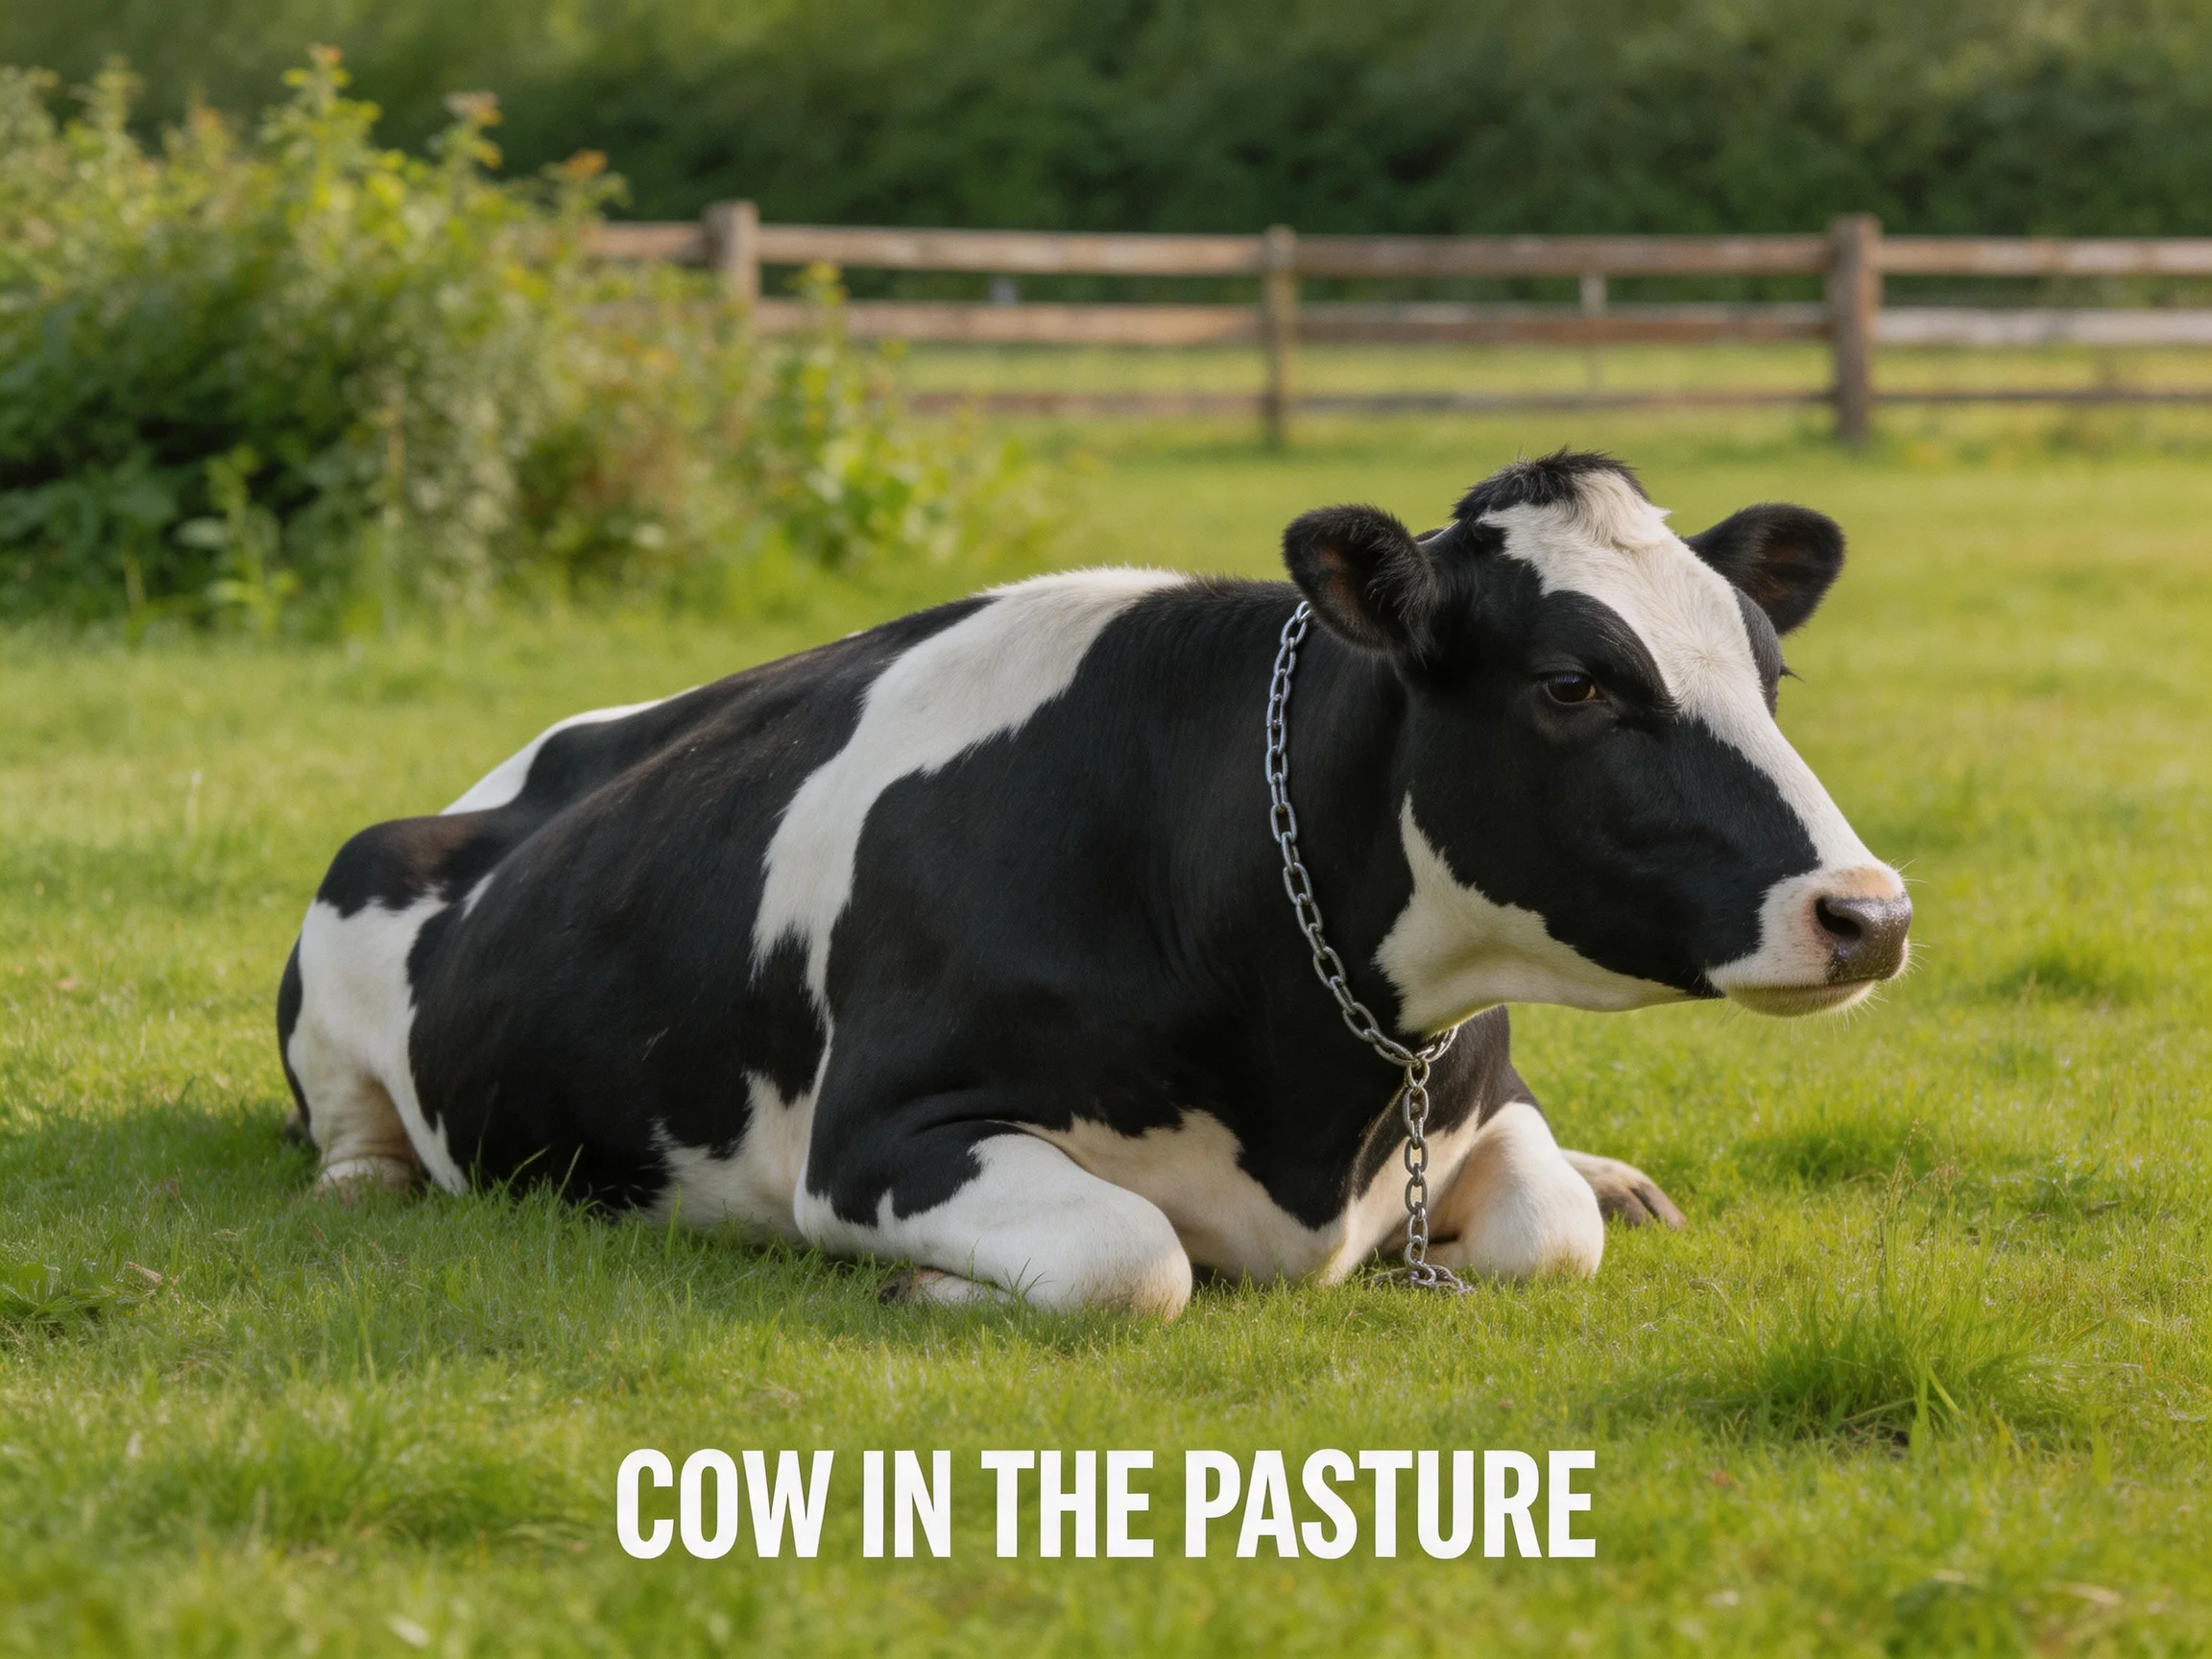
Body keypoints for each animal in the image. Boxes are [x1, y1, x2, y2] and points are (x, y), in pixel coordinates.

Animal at [276, 451, 1910, 1317]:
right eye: (1574, 684)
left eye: (1769, 673)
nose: (1870, 912)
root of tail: (544, 756)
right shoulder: (881, 1137)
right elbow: (1134, 1257)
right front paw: (931, 1288)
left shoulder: (1475, 1092)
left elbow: (1547, 1229)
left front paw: (1584, 1187)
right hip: (347, 917)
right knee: (356, 1138)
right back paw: (367, 1183)